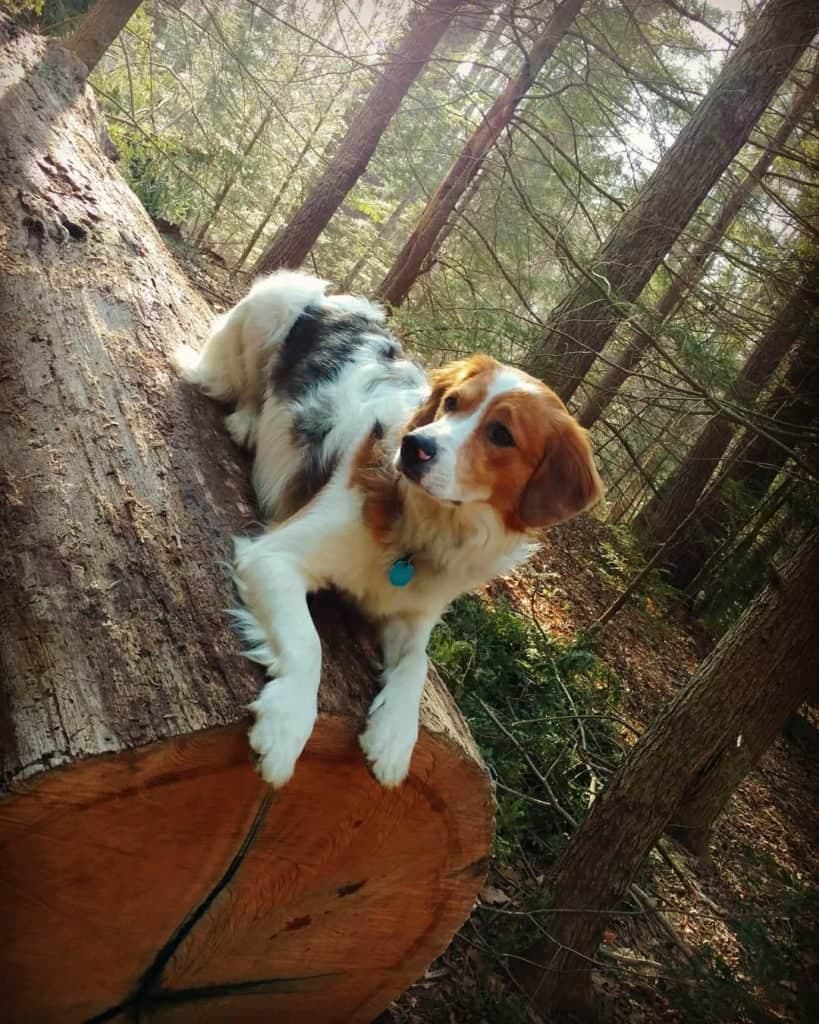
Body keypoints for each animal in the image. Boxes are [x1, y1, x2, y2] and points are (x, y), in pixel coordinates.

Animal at [173, 270, 601, 782]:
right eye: (451, 403)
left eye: (501, 434)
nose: (415, 446)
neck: (428, 525)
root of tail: (341, 302)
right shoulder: (273, 556)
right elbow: (308, 643)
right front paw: (286, 726)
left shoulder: (413, 614)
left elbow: (417, 665)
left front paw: (395, 735)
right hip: (278, 297)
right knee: (239, 385)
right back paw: (248, 421)